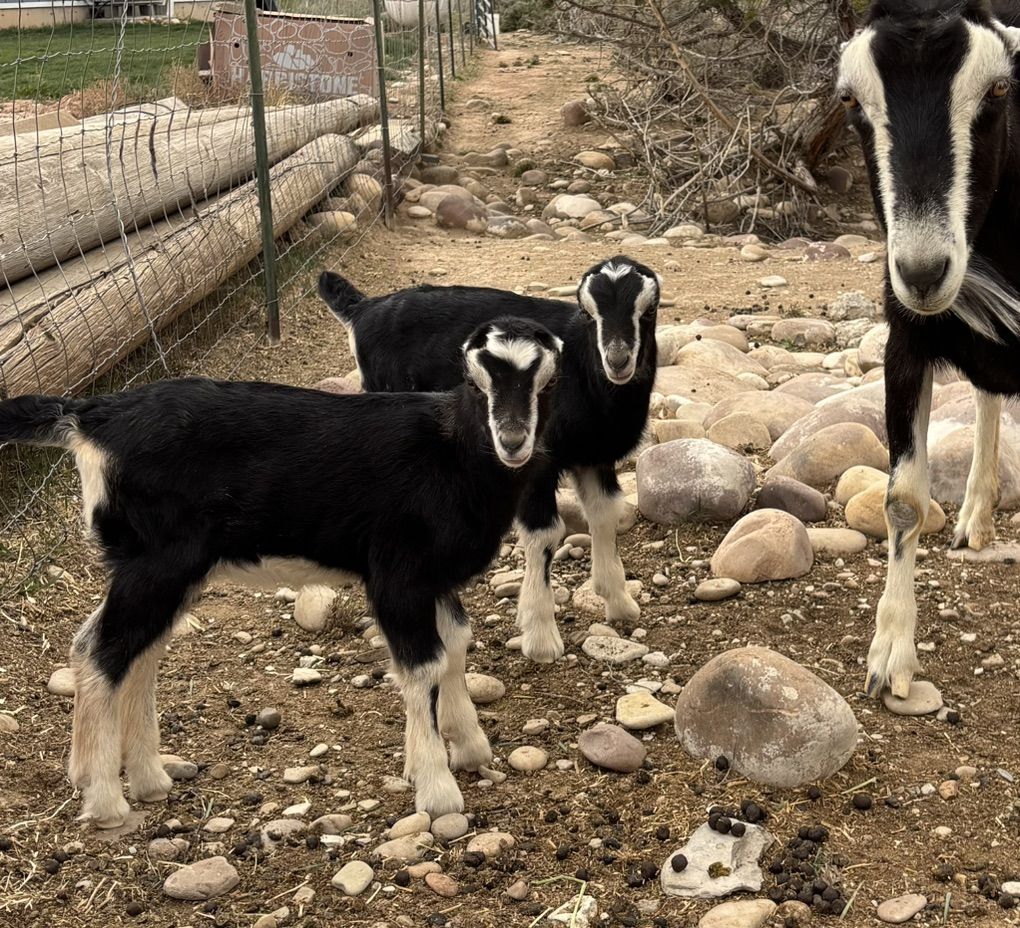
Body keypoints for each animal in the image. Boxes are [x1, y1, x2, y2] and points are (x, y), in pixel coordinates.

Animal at [0, 318, 562, 826]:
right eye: (474, 379)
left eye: (546, 381)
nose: (513, 440)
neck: (453, 453)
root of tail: (91, 417)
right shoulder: (396, 575)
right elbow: (424, 666)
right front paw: (437, 788)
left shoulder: (434, 579)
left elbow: (457, 644)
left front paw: (468, 744)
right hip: (157, 562)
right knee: (101, 652)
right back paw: (105, 801)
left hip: (164, 569)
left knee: (130, 652)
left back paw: (144, 779)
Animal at [319, 255, 660, 665]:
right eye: (587, 312)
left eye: (650, 310)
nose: (618, 360)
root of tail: (363, 309)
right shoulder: (536, 463)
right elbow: (545, 534)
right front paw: (540, 636)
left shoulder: (594, 456)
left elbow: (605, 513)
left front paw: (620, 602)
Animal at [838, 0, 1020, 698]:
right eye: (850, 100)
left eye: (999, 89)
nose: (921, 272)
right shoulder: (905, 344)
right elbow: (903, 501)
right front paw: (891, 654)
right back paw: (974, 516)